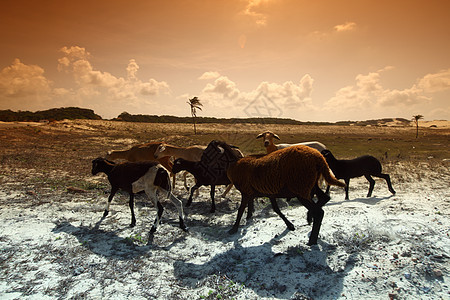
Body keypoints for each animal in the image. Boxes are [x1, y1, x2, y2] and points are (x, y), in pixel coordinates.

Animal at [209, 141, 342, 246]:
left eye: (214, 152)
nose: (209, 170)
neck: (235, 163)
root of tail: (318, 158)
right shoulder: (269, 192)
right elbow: (276, 209)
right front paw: (290, 225)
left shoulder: (246, 192)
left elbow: (241, 210)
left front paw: (234, 228)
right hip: (311, 185)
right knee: (325, 198)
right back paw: (309, 218)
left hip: (301, 188)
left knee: (319, 212)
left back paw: (312, 240)